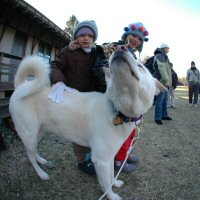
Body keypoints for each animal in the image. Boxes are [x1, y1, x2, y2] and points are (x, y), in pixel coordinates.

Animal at [9, 48, 166, 200]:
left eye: (141, 66)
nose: (121, 48)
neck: (118, 110)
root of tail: (21, 85)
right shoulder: (101, 160)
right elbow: (106, 182)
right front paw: (112, 196)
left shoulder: (109, 157)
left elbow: (111, 174)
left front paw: (115, 183)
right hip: (29, 134)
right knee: (29, 156)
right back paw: (41, 173)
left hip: (39, 131)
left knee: (34, 151)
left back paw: (41, 161)